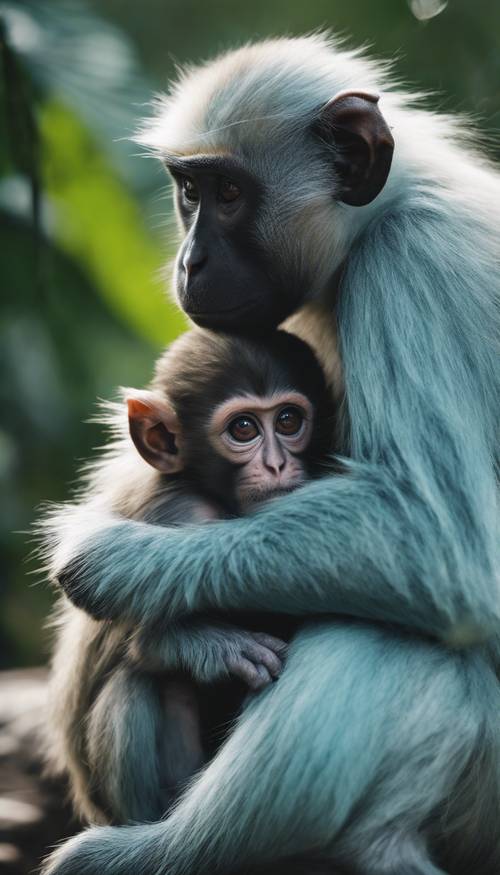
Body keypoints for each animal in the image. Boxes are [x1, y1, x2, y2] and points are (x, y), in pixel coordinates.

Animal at [45, 328, 334, 828]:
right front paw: (215, 647)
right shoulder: (182, 511)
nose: (277, 464)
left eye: (289, 420)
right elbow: (145, 640)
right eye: (243, 429)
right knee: (135, 685)